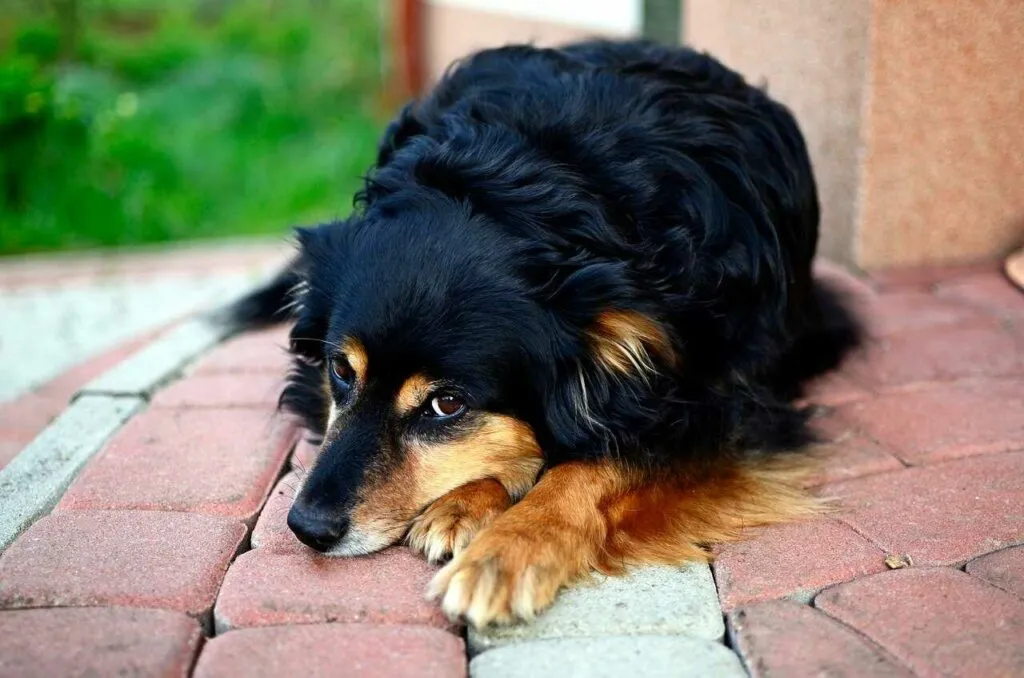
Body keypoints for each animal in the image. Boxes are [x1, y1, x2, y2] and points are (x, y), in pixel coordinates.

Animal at [226, 39, 864, 630]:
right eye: (341, 369)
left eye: (447, 404)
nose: (307, 527)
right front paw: (469, 504)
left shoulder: (732, 411)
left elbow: (598, 465)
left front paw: (505, 550)